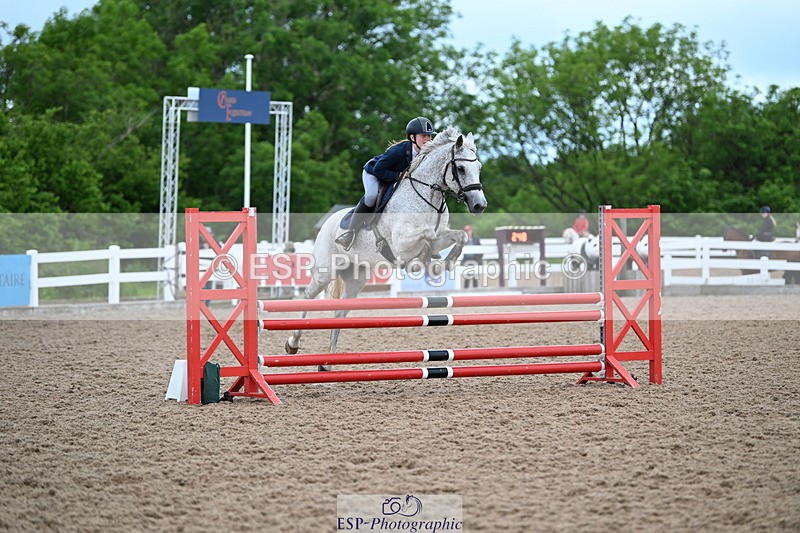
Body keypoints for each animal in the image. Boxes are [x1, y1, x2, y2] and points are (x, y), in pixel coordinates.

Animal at [285, 127, 487, 358]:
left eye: (478, 167)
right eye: (460, 168)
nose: (480, 205)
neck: (428, 196)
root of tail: (327, 223)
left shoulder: (442, 235)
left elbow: (459, 236)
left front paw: (444, 263)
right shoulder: (401, 243)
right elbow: (428, 235)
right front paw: (422, 263)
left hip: (356, 277)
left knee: (340, 310)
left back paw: (328, 358)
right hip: (324, 272)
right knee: (309, 296)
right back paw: (293, 343)